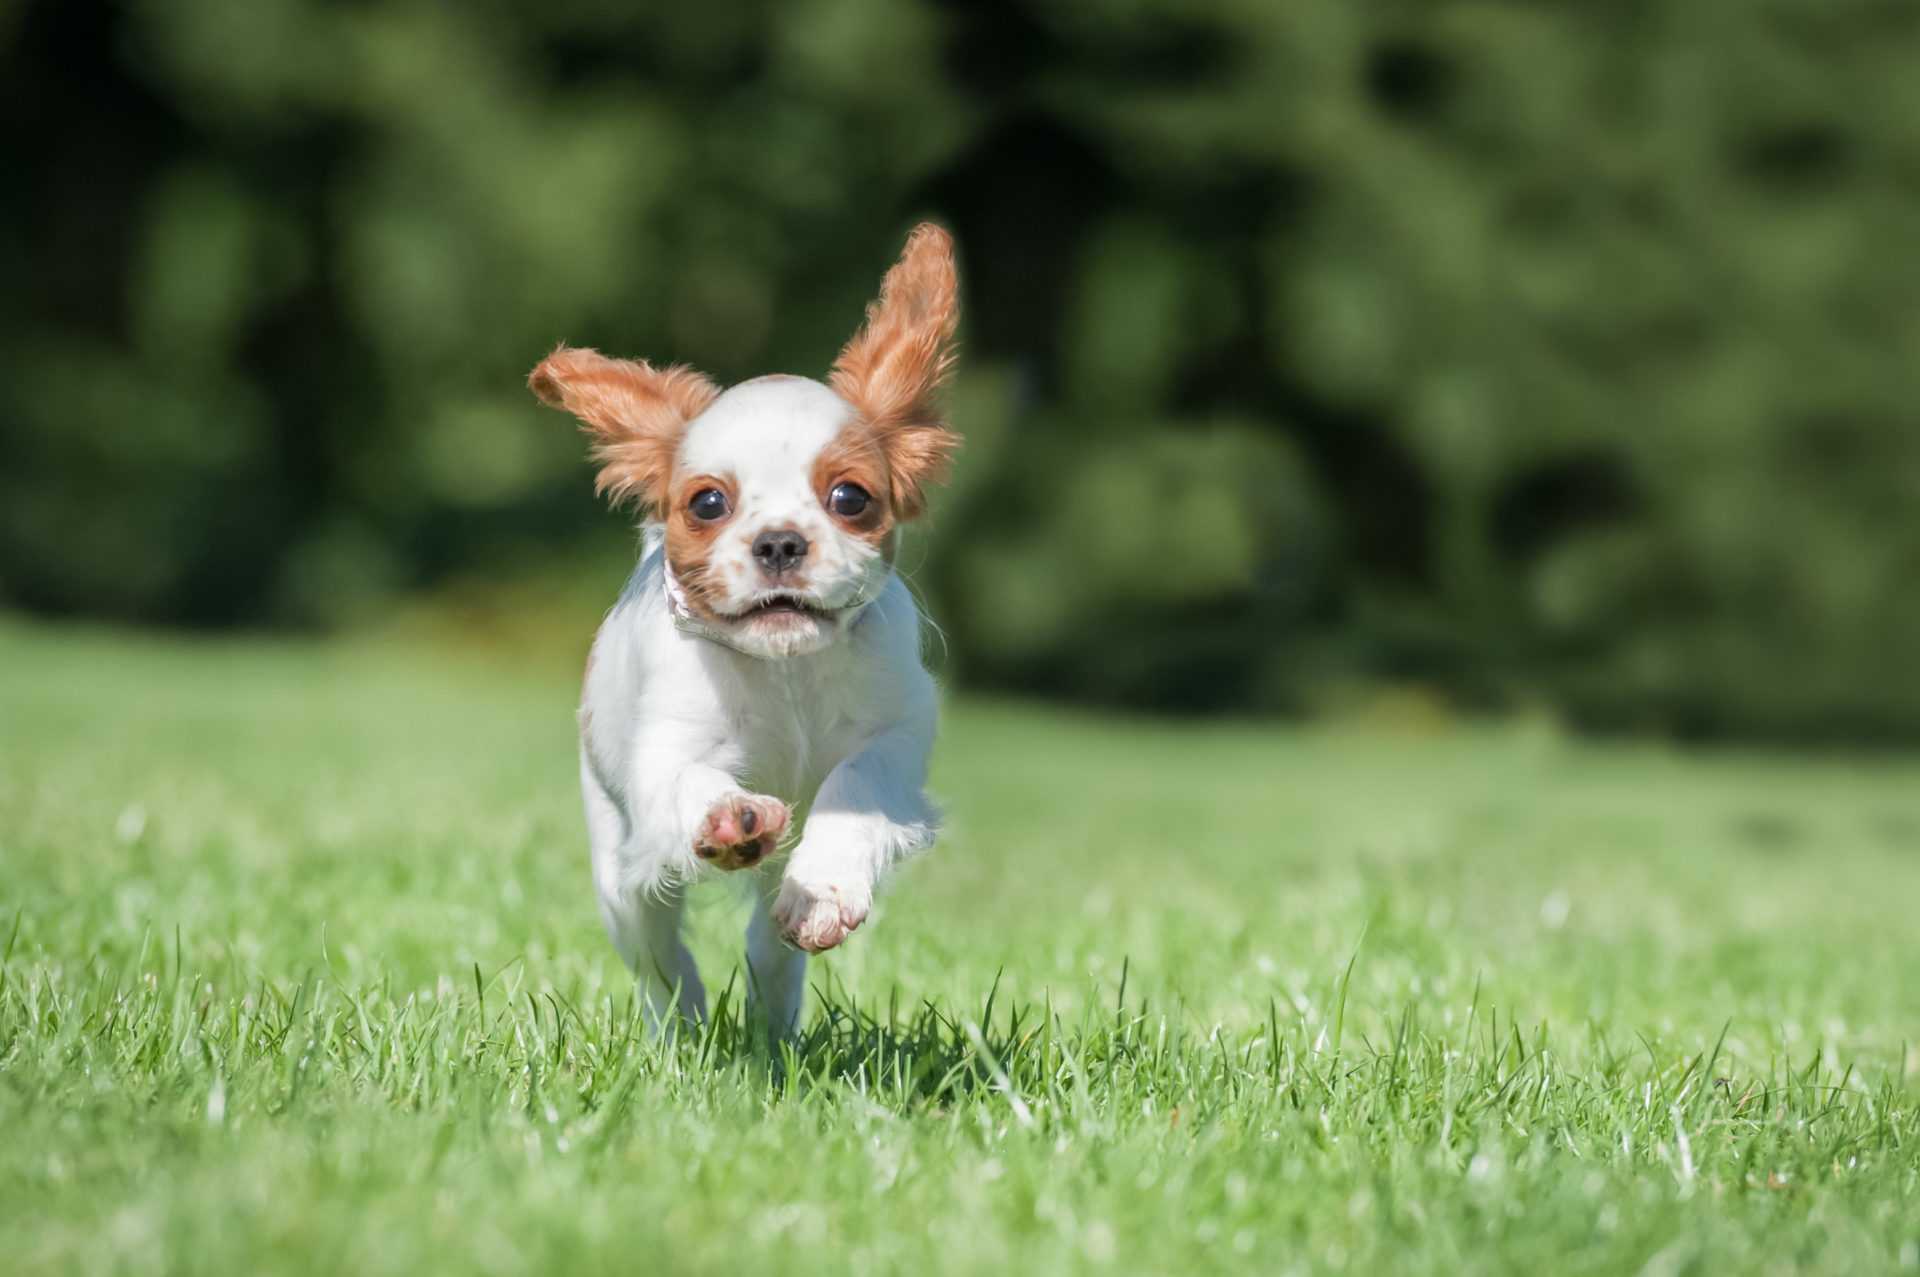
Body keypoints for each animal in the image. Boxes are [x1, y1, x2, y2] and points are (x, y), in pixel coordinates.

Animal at [526, 223, 960, 1029]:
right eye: (707, 503)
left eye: (850, 497)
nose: (780, 542)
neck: (785, 667)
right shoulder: (662, 753)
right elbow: (691, 780)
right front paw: (732, 818)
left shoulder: (898, 731)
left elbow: (855, 782)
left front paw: (827, 888)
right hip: (620, 882)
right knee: (660, 960)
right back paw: (683, 1025)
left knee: (768, 946)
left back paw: (775, 1007)